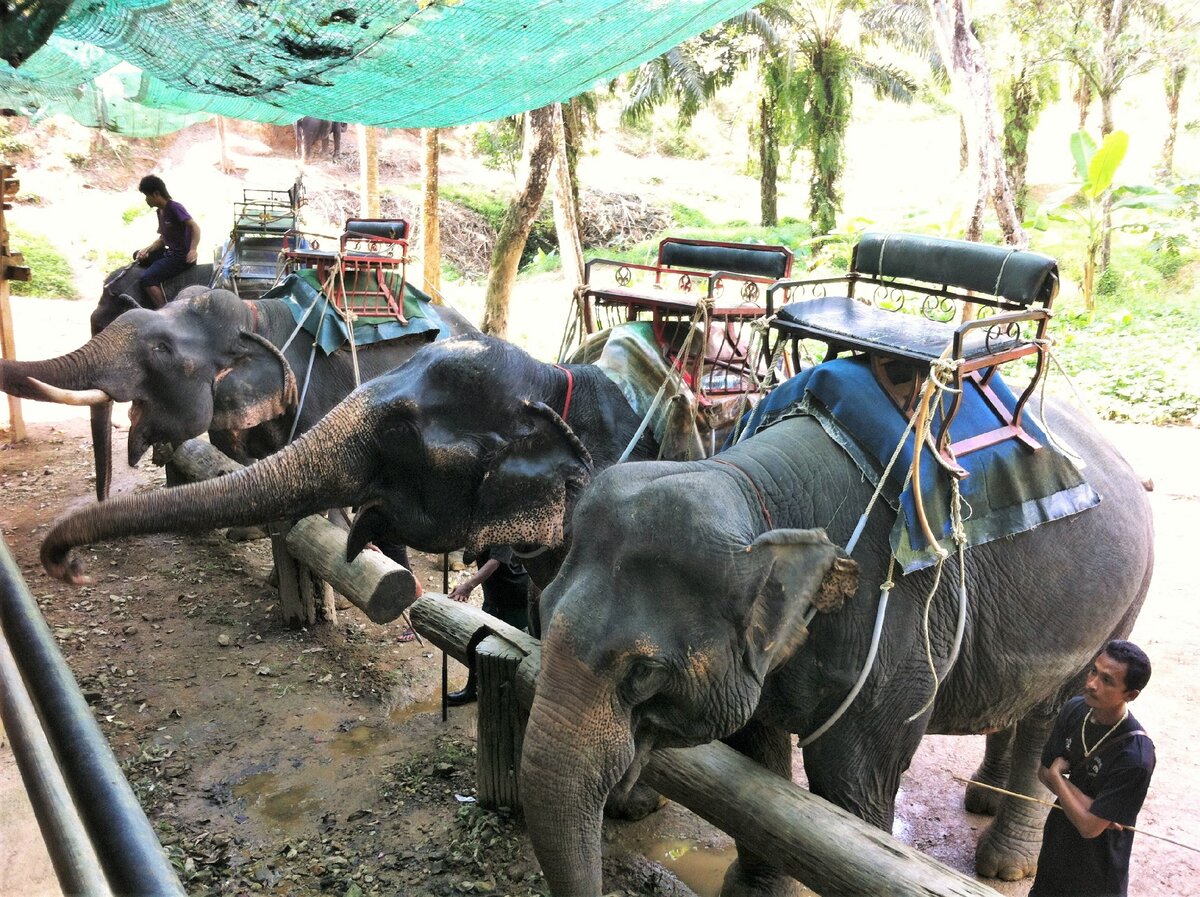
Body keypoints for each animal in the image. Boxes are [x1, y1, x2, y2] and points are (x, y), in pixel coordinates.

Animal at [523, 400, 1152, 897]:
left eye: (645, 671)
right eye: (541, 613)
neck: (752, 489)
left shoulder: (893, 636)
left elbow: (851, 784)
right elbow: (756, 755)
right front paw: (753, 891)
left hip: (1117, 610)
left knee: (1053, 720)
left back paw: (1004, 865)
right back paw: (982, 800)